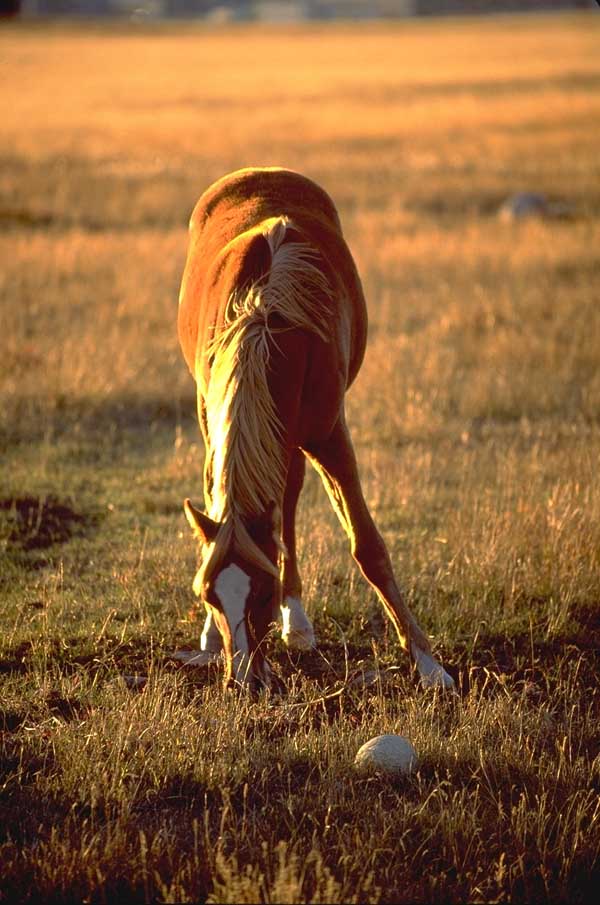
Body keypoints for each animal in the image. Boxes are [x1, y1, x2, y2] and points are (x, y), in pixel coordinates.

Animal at [176, 168, 452, 692]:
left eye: (263, 592)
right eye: (209, 596)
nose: (244, 680)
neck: (264, 318)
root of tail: (262, 172)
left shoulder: (330, 437)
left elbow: (368, 546)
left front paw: (428, 663)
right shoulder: (210, 420)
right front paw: (209, 636)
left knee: (287, 504)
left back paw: (299, 621)